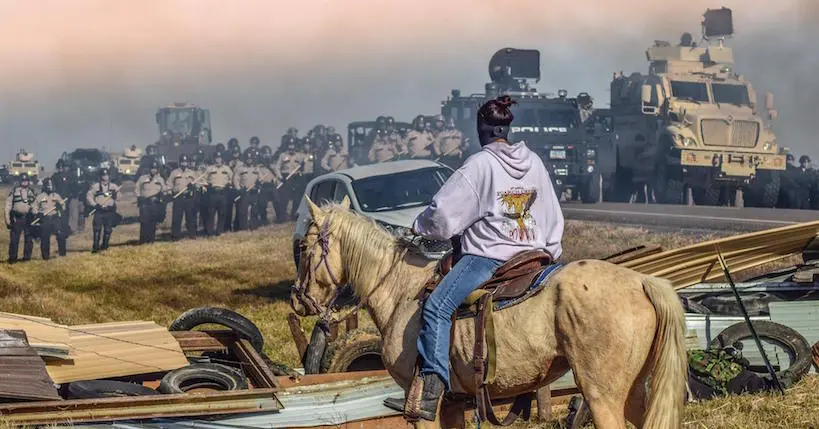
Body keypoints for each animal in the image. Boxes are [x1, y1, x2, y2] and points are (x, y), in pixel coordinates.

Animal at [292, 196, 688, 426]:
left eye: (306, 246)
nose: (299, 298)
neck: (402, 290)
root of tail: (642, 282)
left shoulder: (422, 402)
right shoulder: (453, 403)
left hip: (603, 396)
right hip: (634, 392)